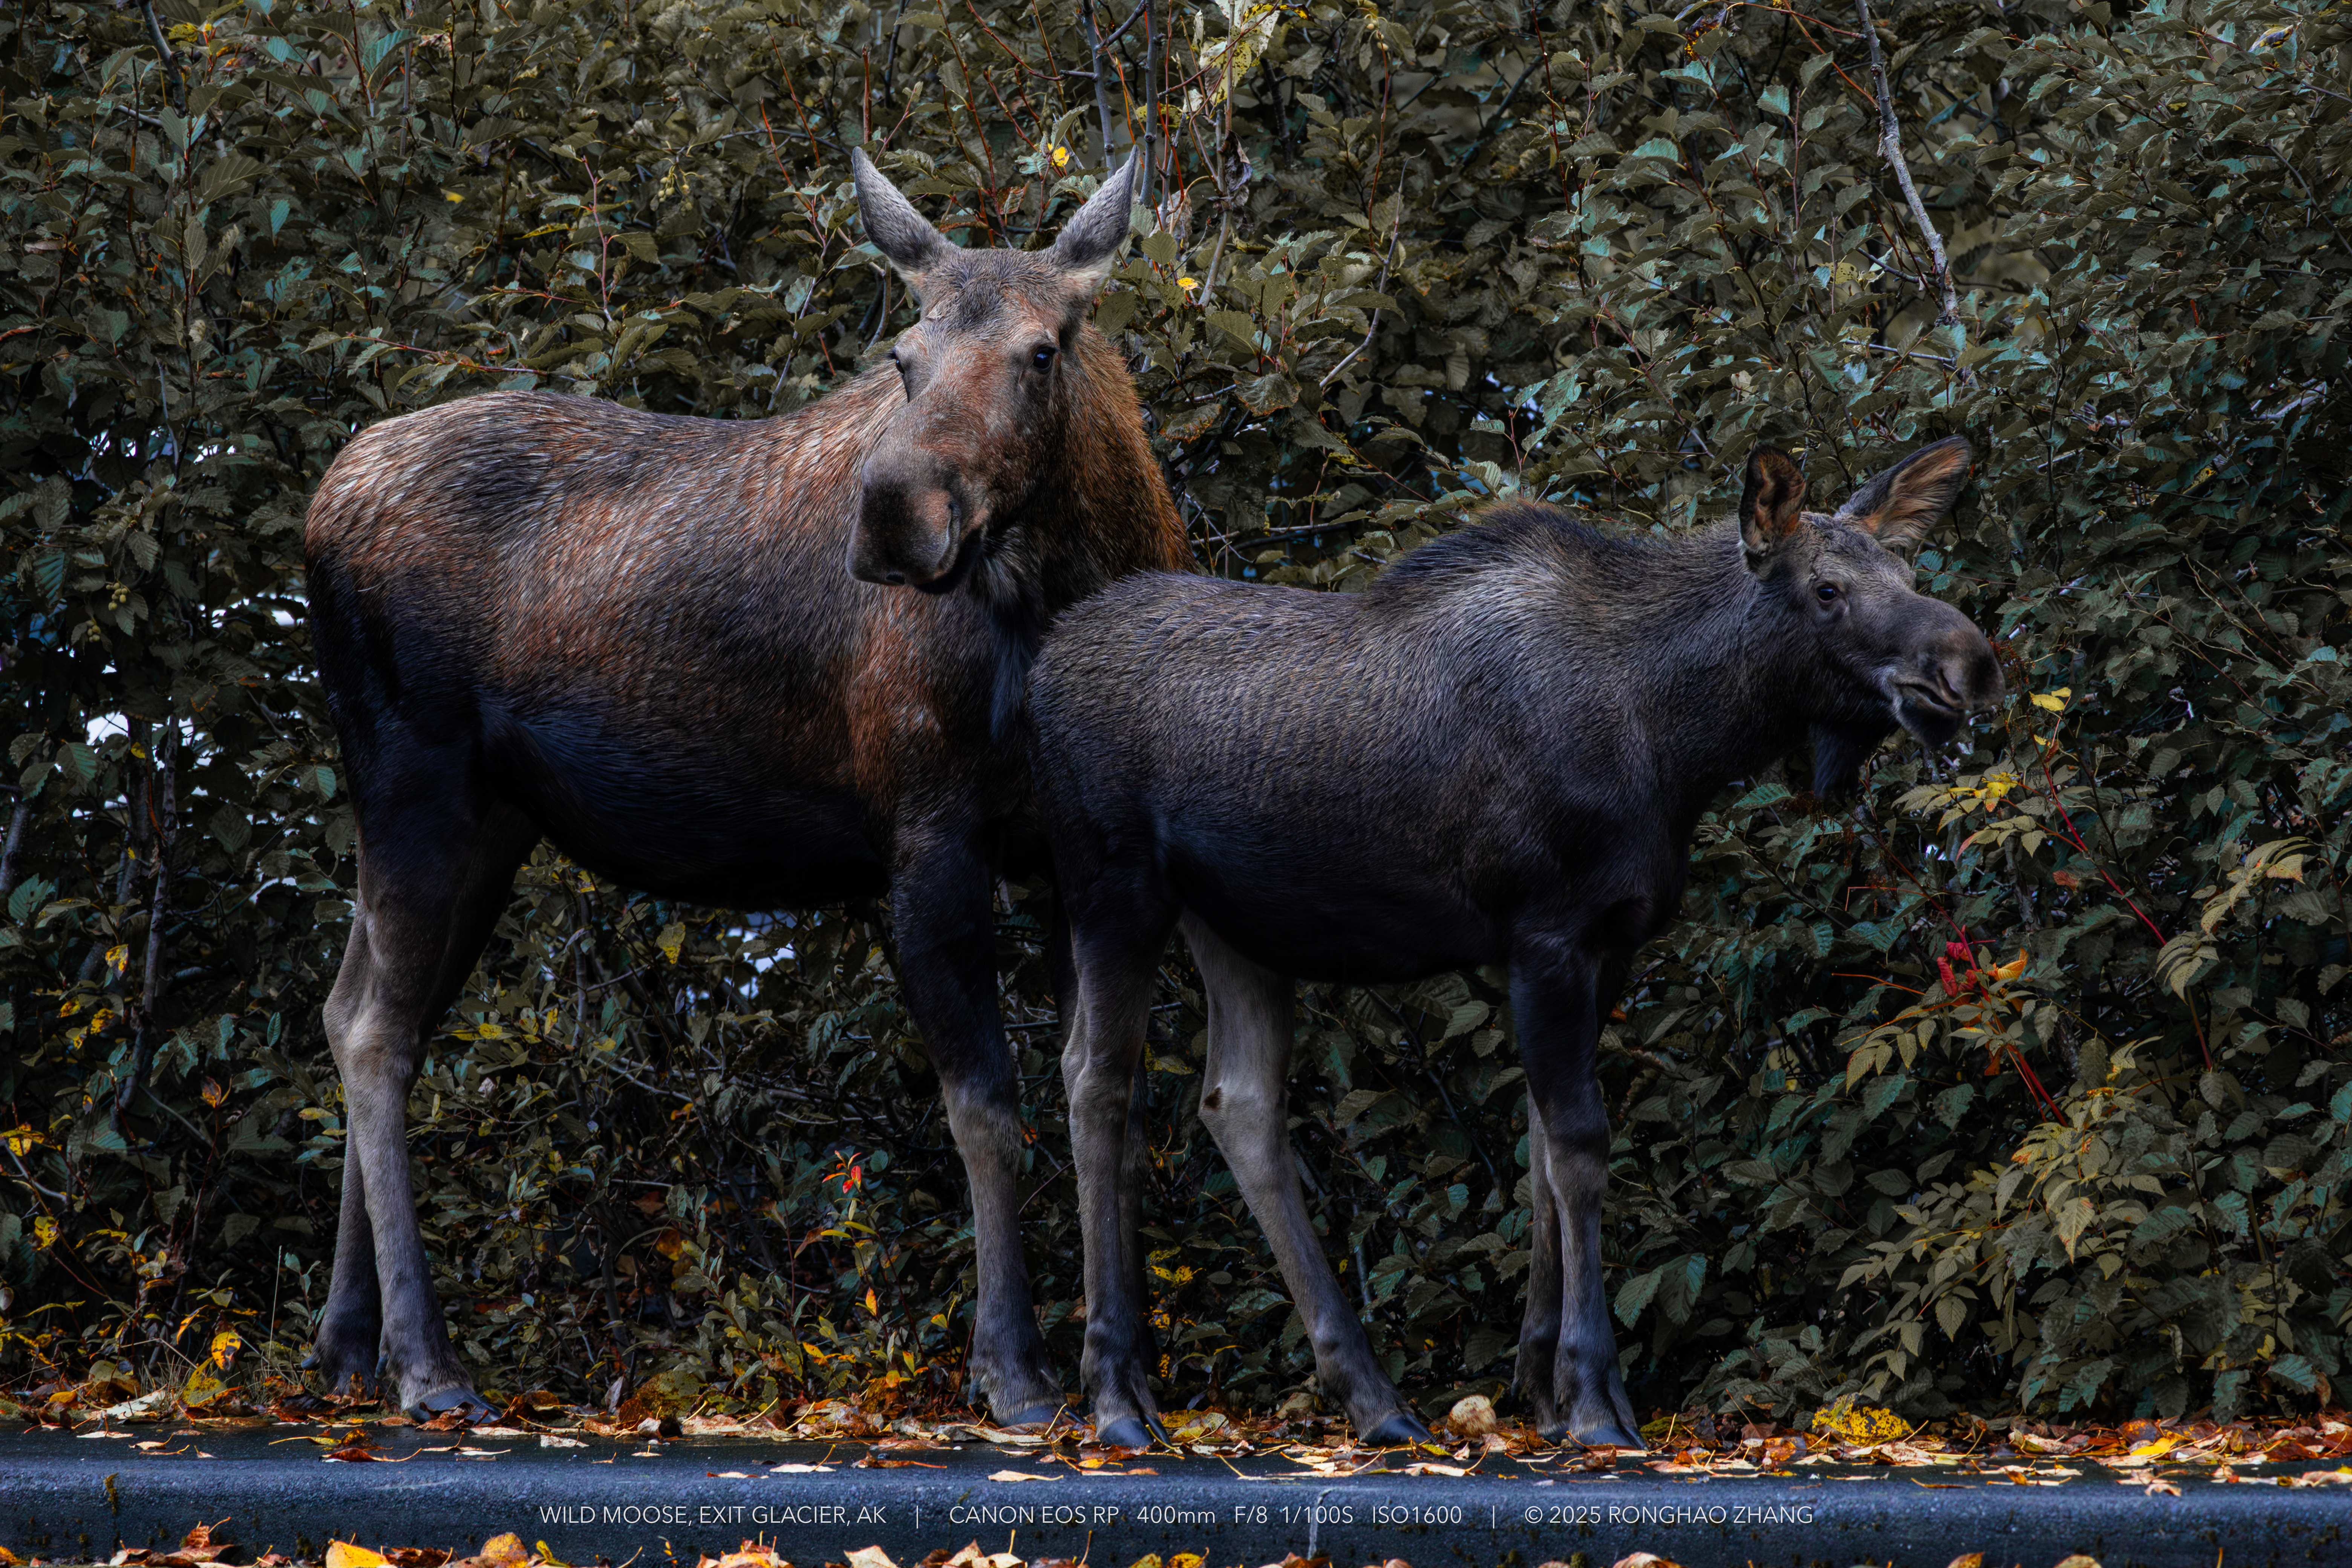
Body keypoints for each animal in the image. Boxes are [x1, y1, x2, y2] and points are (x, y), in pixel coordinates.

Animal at [301, 151, 1190, 1422]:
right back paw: (427, 1365)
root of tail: (321, 501)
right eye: (902, 354)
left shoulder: (1089, 856)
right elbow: (985, 1107)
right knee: (377, 1029)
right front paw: (1014, 1371)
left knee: (357, 1006)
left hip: (486, 817)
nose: (896, 511)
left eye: (1039, 351)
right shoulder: (926, 835)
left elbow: (1102, 1091)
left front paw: (1123, 1381)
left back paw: (344, 1347)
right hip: (410, 774)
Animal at [1027, 439, 2003, 1448]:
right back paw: (1115, 1394)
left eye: (1908, 572)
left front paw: (1541, 1384)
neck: (1679, 739)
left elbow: (1540, 1149)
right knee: (1096, 1081)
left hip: (1237, 923)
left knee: (1237, 1100)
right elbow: (1578, 1146)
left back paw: (1372, 1396)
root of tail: (1042, 662)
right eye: (1825, 588)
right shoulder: (1547, 934)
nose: (1967, 664)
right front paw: (1594, 1395)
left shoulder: (1608, 942)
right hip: (1109, 888)